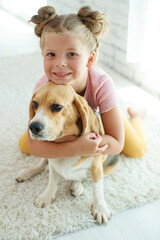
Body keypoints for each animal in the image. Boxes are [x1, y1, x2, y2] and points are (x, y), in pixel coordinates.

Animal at [16, 82, 118, 225]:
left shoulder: (97, 166)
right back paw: (27, 172)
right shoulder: (53, 163)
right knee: (41, 164)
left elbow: (97, 189)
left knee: (86, 178)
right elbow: (52, 182)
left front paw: (100, 208)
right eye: (35, 104)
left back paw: (77, 186)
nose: (33, 127)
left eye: (57, 107)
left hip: (109, 167)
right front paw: (46, 196)